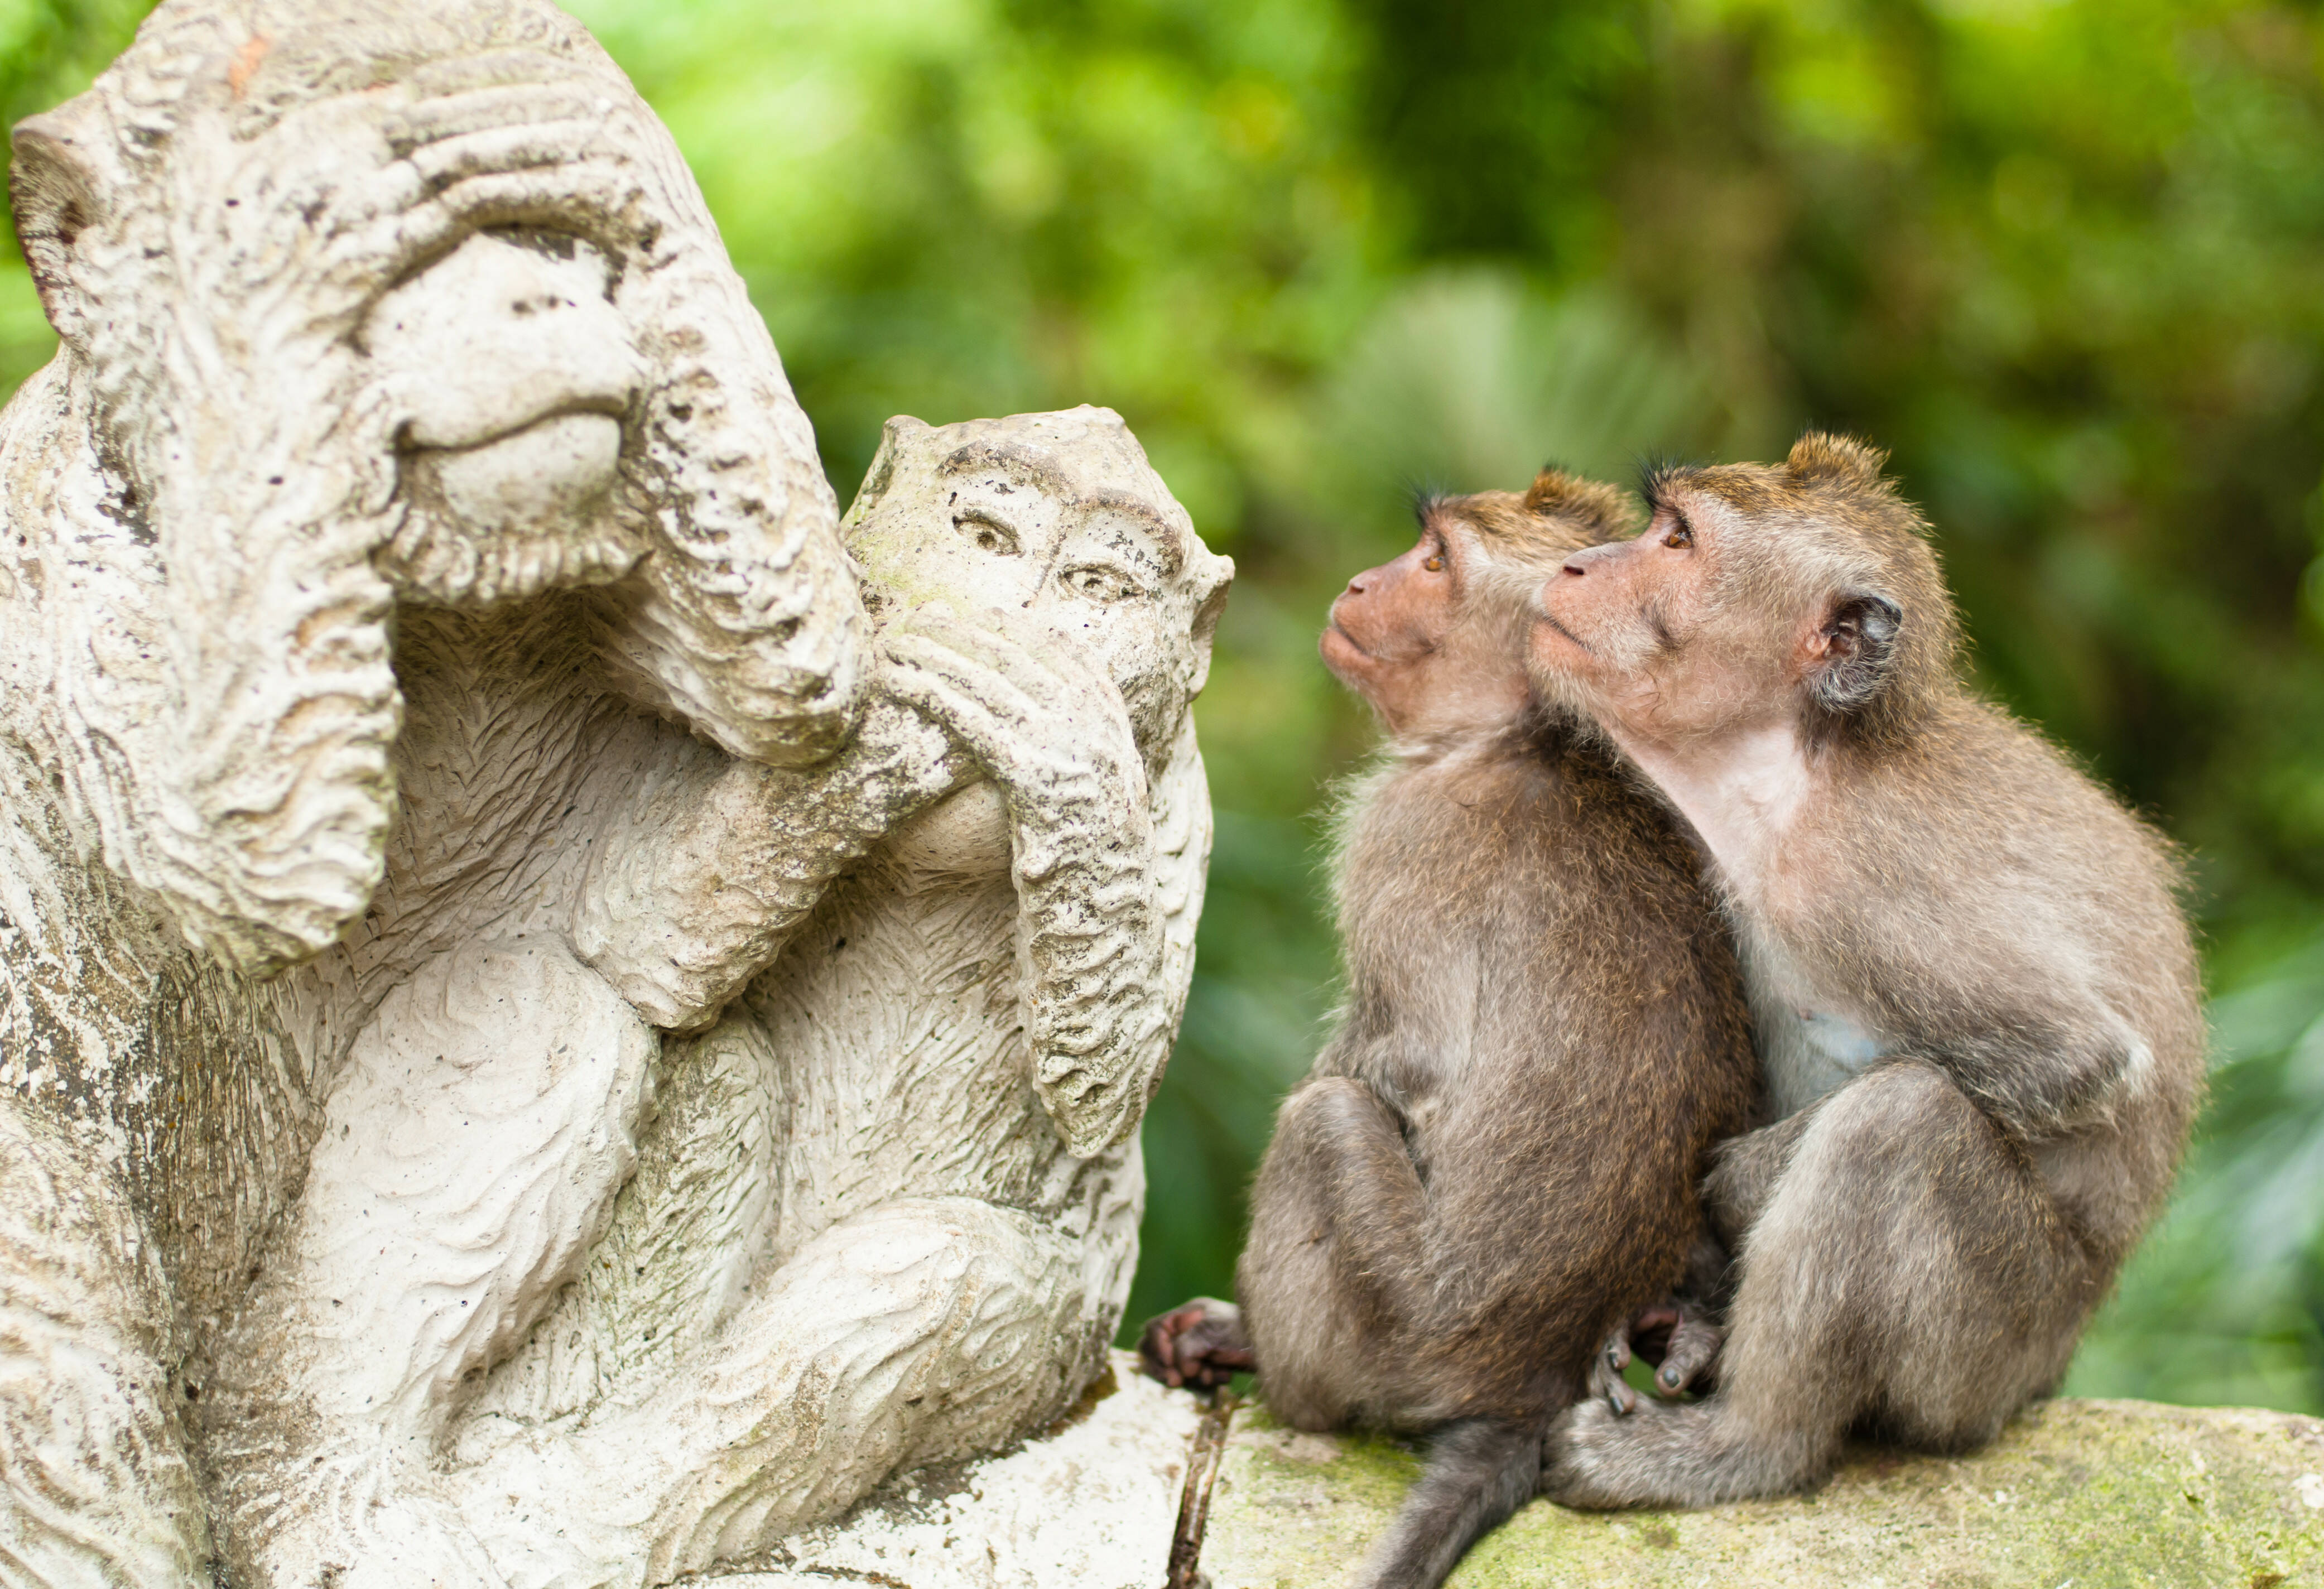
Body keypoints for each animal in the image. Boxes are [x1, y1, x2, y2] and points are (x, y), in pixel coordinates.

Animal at [1141, 469, 1757, 1589]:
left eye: (1434, 562)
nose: (1360, 581)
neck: (1519, 733)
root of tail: (1524, 1385)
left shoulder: (1402, 831)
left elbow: (1403, 1061)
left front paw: (1230, 1320)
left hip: (1396, 1328)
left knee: (1326, 1120)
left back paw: (1272, 1364)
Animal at [1527, 433, 2204, 1509]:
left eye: (1676, 540)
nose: (1579, 566)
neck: (1795, 769)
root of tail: (2049, 1369)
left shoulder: (1860, 878)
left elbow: (2079, 1058)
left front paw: (1734, 1185)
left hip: (1990, 1349)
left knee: (1898, 1125)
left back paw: (1743, 1446)